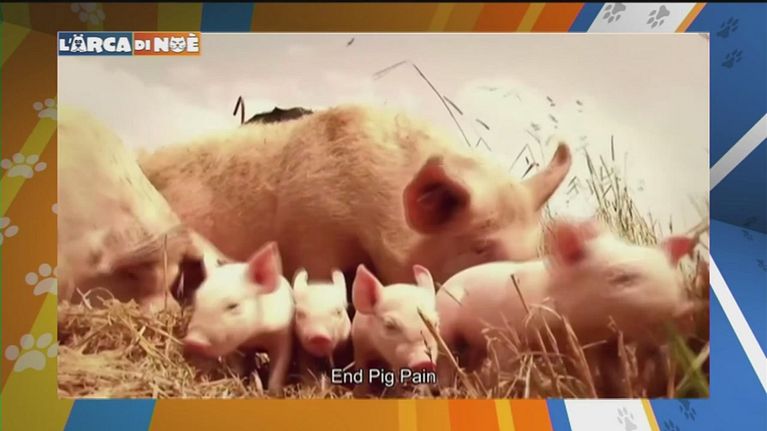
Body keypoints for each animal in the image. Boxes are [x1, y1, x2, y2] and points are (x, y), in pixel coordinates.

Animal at [183, 242, 294, 395]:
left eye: (233, 306)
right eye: (196, 300)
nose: (192, 340)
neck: (255, 335)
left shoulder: (282, 334)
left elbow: (279, 366)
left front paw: (275, 393)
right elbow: (237, 365)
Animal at [350, 264, 440, 397]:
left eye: (434, 324)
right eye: (389, 325)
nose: (425, 362)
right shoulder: (360, 345)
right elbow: (362, 368)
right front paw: (359, 394)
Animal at [435, 218, 698, 387]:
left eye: (676, 279)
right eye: (622, 278)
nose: (686, 311)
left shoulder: (600, 347)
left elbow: (608, 375)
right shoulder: (504, 334)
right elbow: (506, 362)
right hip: (445, 328)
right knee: (445, 358)